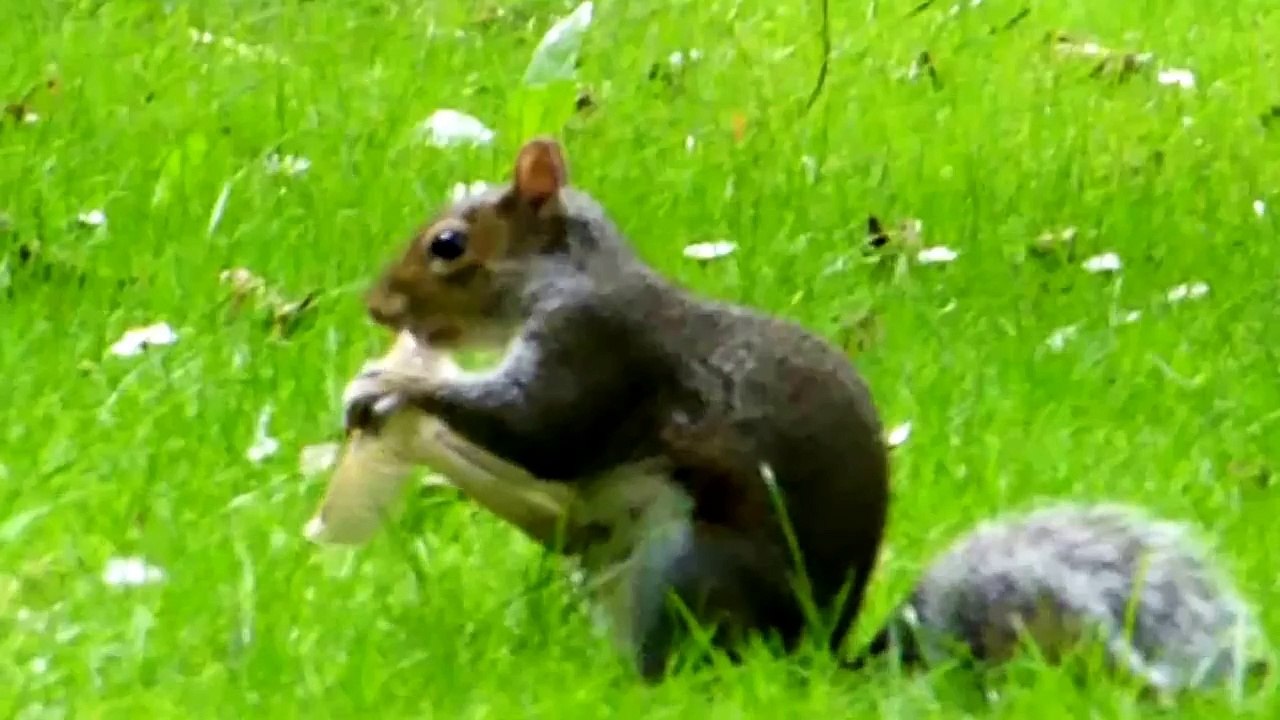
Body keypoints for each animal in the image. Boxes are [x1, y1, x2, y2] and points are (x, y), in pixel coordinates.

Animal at [339, 136, 891, 681]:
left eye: (448, 245)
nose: (376, 306)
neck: (568, 274)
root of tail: (816, 652)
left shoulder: (593, 342)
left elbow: (538, 431)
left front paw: (395, 383)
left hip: (680, 572)